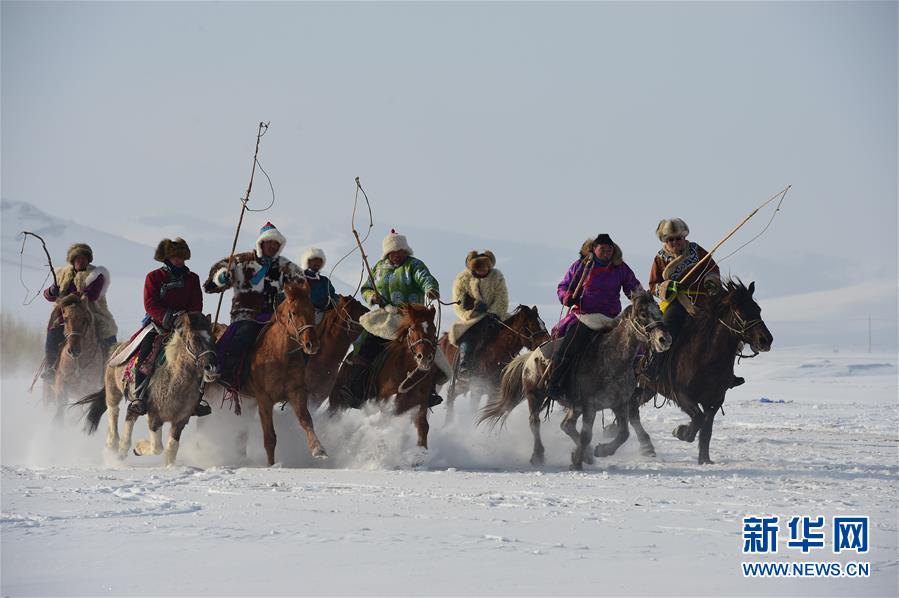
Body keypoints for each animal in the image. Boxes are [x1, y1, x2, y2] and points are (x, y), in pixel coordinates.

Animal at [76, 314, 220, 468]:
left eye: (213, 338)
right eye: (195, 338)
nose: (212, 368)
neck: (175, 381)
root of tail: (118, 347)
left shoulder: (180, 420)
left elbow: (171, 447)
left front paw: (170, 466)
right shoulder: (154, 417)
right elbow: (157, 447)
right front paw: (138, 448)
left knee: (130, 413)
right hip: (113, 390)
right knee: (113, 412)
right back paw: (113, 447)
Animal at [330, 304, 442, 454]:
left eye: (433, 329)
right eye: (412, 329)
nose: (424, 357)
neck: (409, 375)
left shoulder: (420, 405)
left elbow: (423, 427)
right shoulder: (384, 402)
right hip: (336, 400)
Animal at [482, 292, 672, 474]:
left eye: (659, 311)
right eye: (643, 314)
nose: (665, 339)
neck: (612, 359)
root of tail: (531, 357)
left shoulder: (619, 404)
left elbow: (623, 433)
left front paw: (599, 451)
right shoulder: (590, 406)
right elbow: (587, 435)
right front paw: (577, 463)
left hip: (574, 405)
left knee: (566, 425)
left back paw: (585, 454)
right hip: (535, 395)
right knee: (534, 422)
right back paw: (539, 455)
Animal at [632, 278, 772, 466]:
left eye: (758, 309)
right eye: (740, 311)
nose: (766, 340)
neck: (706, 357)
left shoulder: (714, 401)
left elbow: (706, 430)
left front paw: (704, 459)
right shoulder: (682, 396)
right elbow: (698, 419)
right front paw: (680, 432)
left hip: (647, 389)